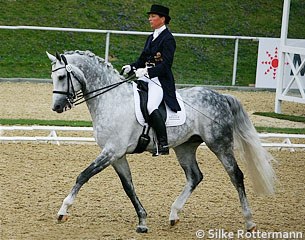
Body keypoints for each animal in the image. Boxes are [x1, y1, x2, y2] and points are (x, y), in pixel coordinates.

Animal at [45, 49, 276, 232]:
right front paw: (142, 221)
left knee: (235, 175)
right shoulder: (117, 155)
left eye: (62, 77)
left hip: (219, 144)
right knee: (195, 176)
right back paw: (174, 214)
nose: (56, 107)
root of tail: (222, 97)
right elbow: (128, 186)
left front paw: (63, 211)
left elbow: (83, 176)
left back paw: (249, 222)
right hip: (185, 146)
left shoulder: (111, 151)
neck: (111, 100)